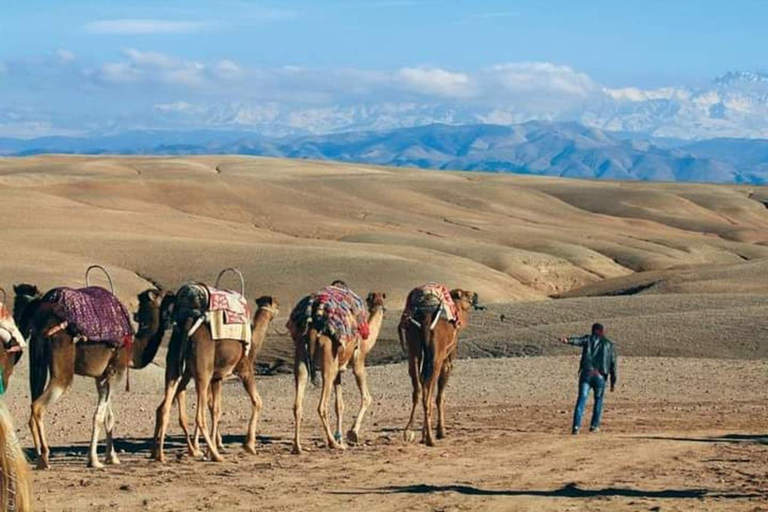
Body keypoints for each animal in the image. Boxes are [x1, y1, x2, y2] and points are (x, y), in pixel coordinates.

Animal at [16, 286, 174, 470]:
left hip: (37, 362)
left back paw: (39, 457)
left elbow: (109, 417)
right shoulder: (117, 370)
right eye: (160, 294)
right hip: (63, 368)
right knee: (38, 406)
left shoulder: (102, 376)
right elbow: (98, 416)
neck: (134, 347)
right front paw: (94, 460)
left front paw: (112, 457)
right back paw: (44, 456)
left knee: (33, 402)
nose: (171, 293)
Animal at [150, 290, 280, 462]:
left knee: (164, 407)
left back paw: (160, 454)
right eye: (276, 304)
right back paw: (215, 456)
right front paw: (249, 446)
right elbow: (257, 402)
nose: (278, 310)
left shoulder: (216, 377)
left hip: (175, 368)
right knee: (198, 416)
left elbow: (216, 410)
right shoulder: (245, 370)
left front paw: (210, 447)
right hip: (202, 372)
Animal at [288, 290, 388, 454]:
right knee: (321, 406)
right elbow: (367, 397)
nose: (380, 306)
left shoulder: (339, 371)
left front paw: (341, 436)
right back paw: (333, 443)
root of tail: (313, 329)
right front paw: (352, 433)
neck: (367, 340)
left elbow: (339, 405)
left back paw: (298, 446)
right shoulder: (359, 363)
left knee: (297, 403)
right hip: (328, 362)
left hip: (301, 356)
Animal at [400, 288, 476, 448]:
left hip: (413, 350)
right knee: (428, 394)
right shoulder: (447, 359)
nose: (475, 295)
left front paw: (422, 434)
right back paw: (430, 438)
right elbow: (440, 396)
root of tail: (426, 320)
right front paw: (441, 431)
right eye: (466, 294)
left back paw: (409, 431)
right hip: (437, 357)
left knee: (418, 390)